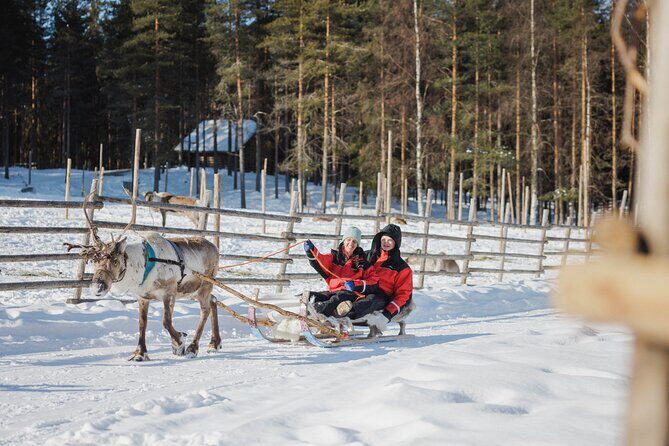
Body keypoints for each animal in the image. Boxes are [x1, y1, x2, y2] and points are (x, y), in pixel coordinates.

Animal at [66, 199, 222, 361]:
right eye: (94, 260)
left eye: (115, 260)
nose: (98, 286)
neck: (144, 265)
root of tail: (215, 247)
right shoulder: (142, 297)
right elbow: (142, 323)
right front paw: (140, 353)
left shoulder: (169, 292)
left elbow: (166, 322)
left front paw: (179, 343)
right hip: (191, 291)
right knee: (214, 300)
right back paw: (214, 343)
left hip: (205, 285)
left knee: (205, 310)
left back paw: (193, 348)